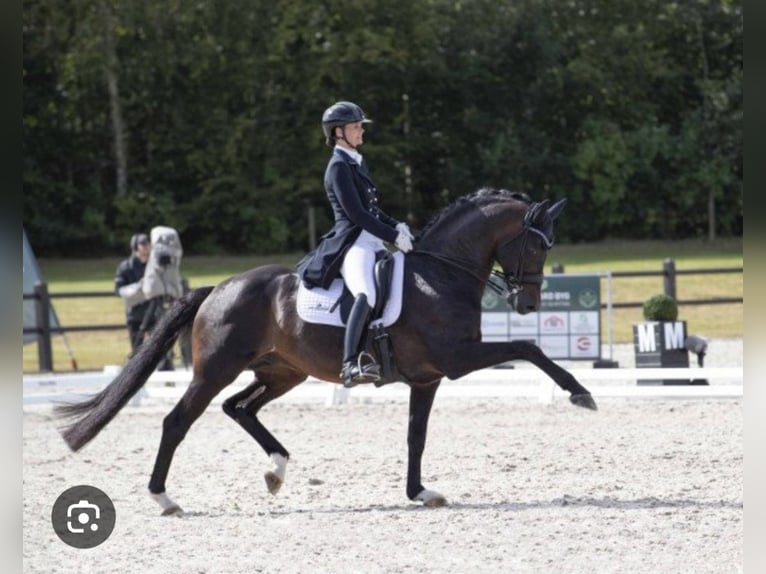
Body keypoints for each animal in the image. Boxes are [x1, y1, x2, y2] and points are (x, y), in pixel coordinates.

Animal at [57, 189, 600, 516]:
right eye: (538, 247)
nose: (527, 304)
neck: (439, 275)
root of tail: (218, 288)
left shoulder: (427, 378)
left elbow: (416, 437)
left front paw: (420, 492)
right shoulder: (456, 360)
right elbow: (529, 347)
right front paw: (581, 394)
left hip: (283, 373)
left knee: (239, 408)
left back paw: (276, 470)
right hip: (215, 370)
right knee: (178, 421)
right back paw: (164, 498)